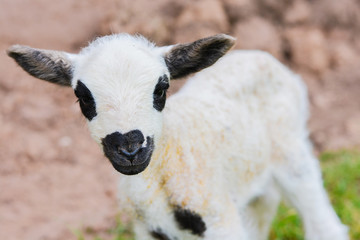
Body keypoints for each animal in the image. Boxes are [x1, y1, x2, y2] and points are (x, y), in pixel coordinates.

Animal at [6, 34, 348, 240]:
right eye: (82, 97)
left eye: (161, 89)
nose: (129, 149)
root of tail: (262, 57)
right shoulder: (146, 228)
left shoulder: (218, 217)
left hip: (292, 152)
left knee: (322, 220)